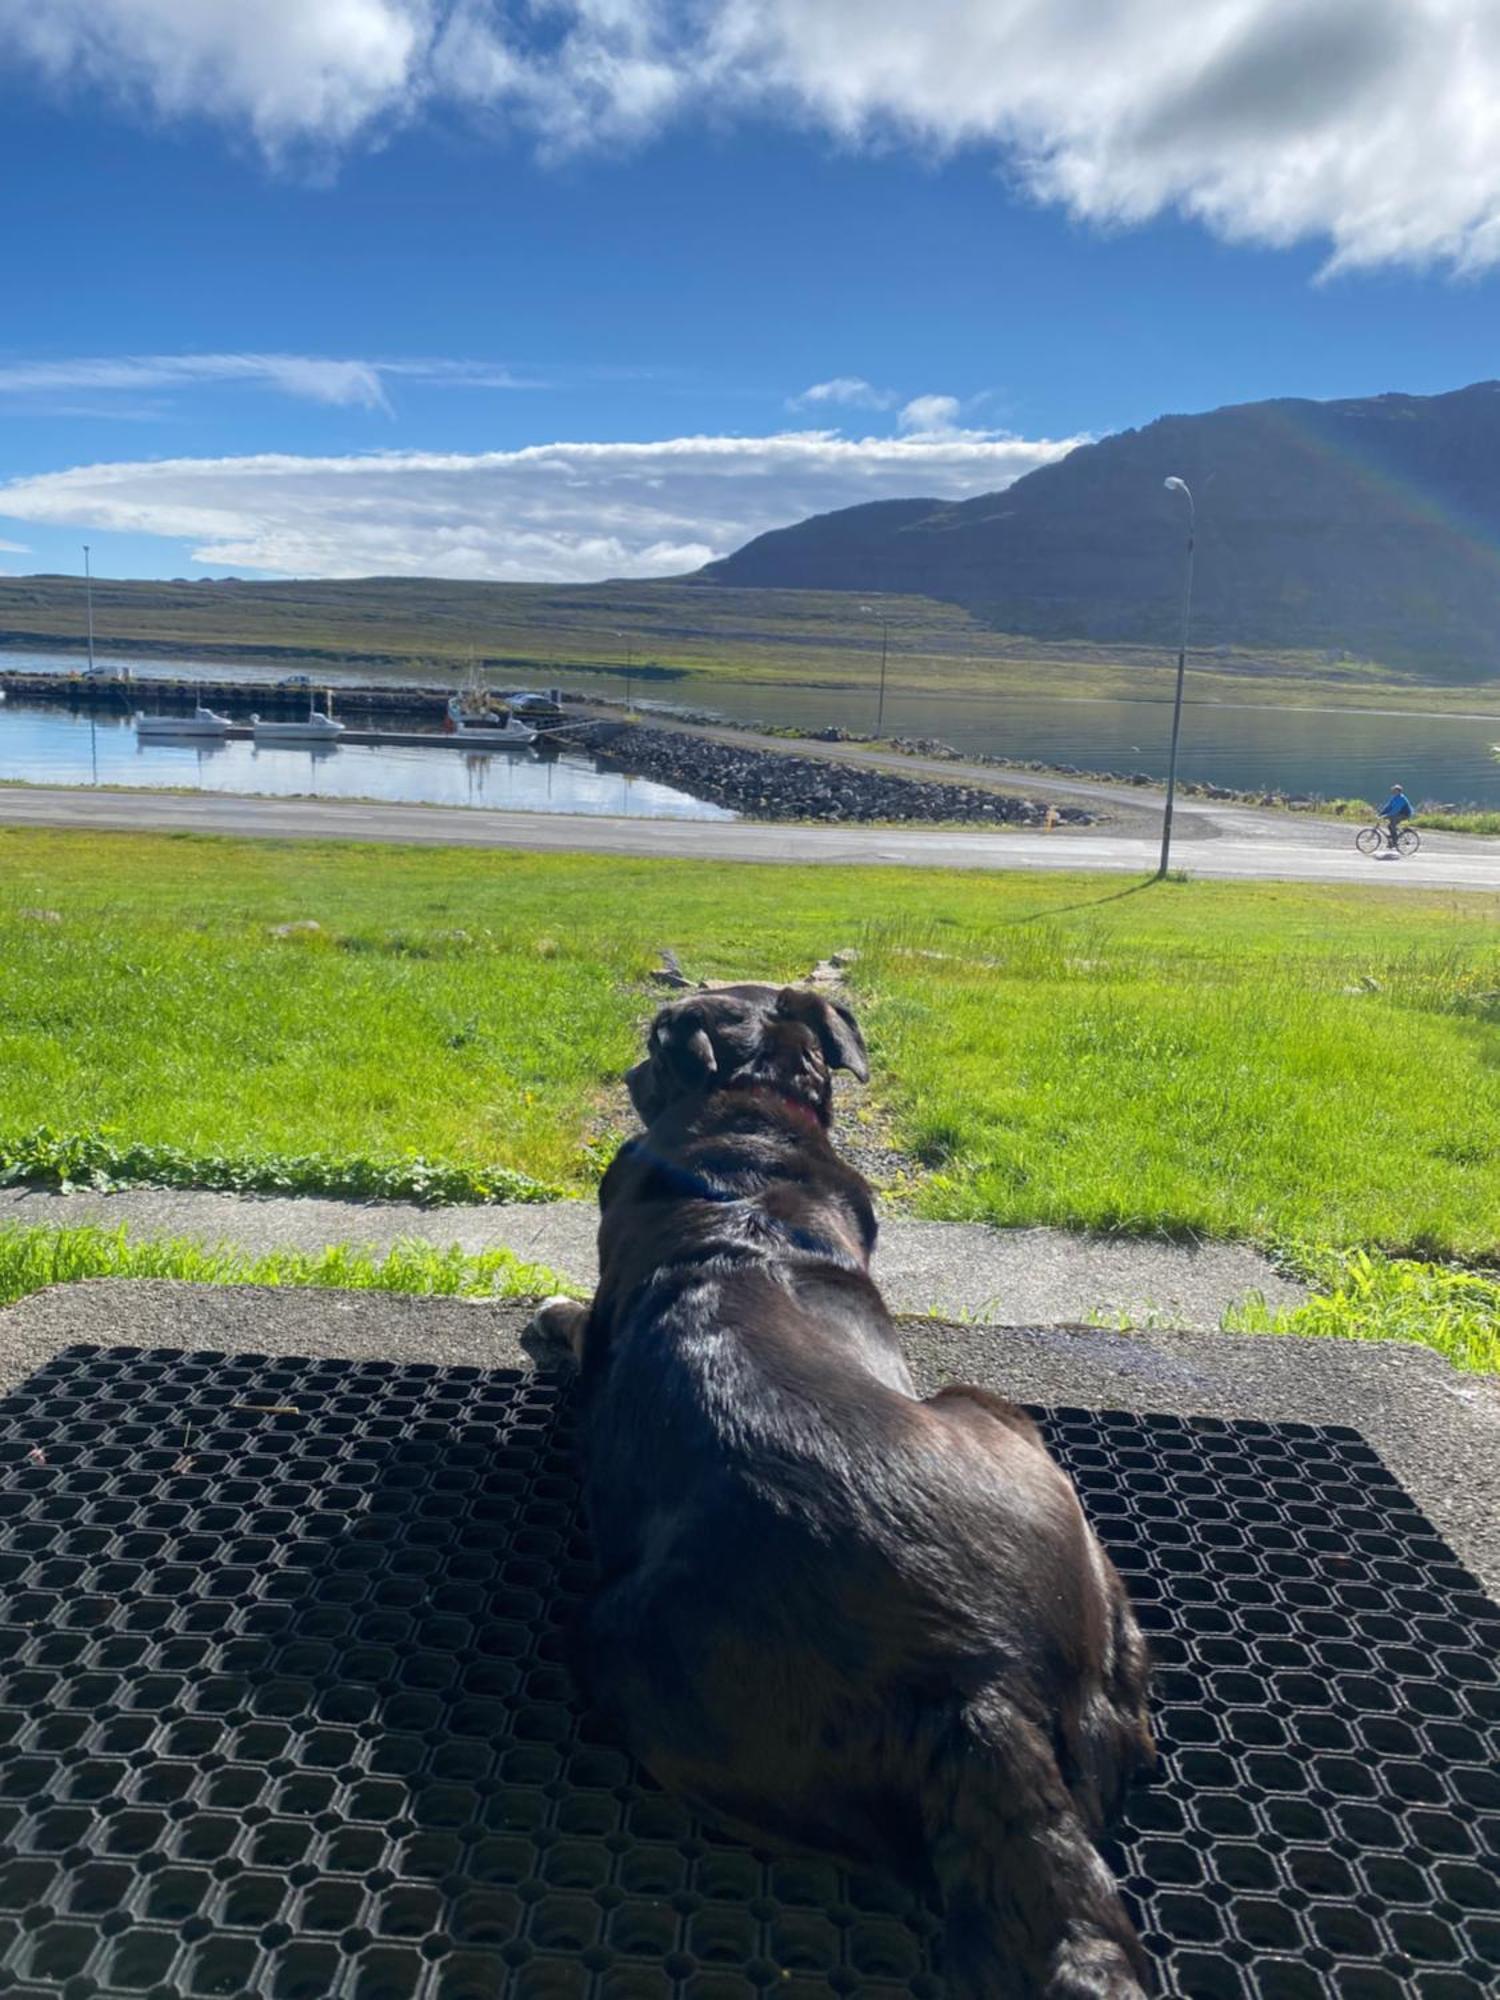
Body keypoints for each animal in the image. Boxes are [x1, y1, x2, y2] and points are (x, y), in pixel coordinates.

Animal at [536, 988, 1160, 2000]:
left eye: (658, 1038)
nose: (630, 1063)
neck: (750, 1125)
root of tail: (981, 1681)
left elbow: (580, 1316)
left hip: (622, 1636)